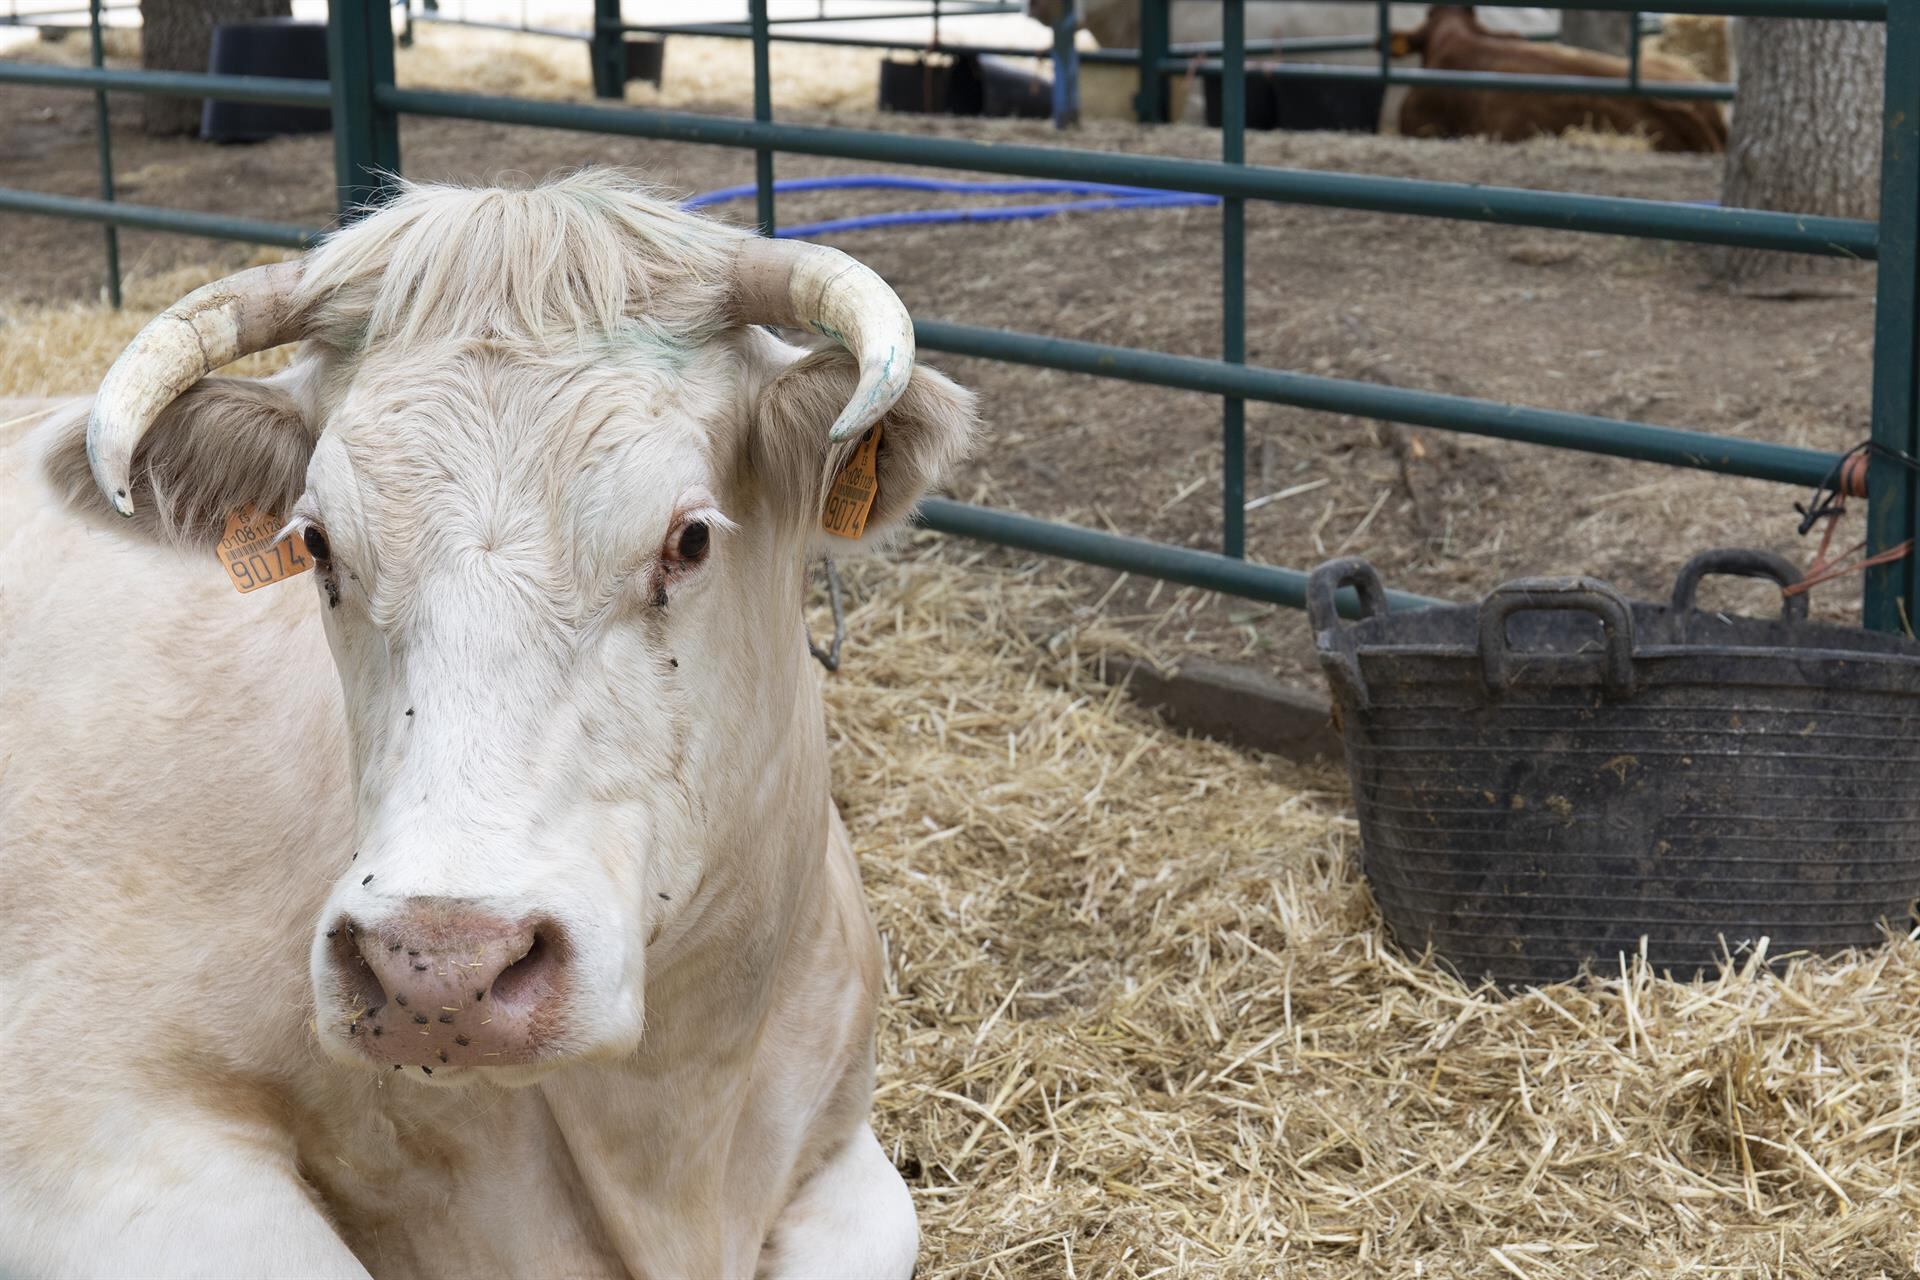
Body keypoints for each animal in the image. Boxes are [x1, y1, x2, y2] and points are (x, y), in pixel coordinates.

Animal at [0, 167, 983, 1274]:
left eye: (690, 538)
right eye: (318, 544)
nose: (438, 966)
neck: (675, 1145)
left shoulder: (846, 1148)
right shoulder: (81, 1131)